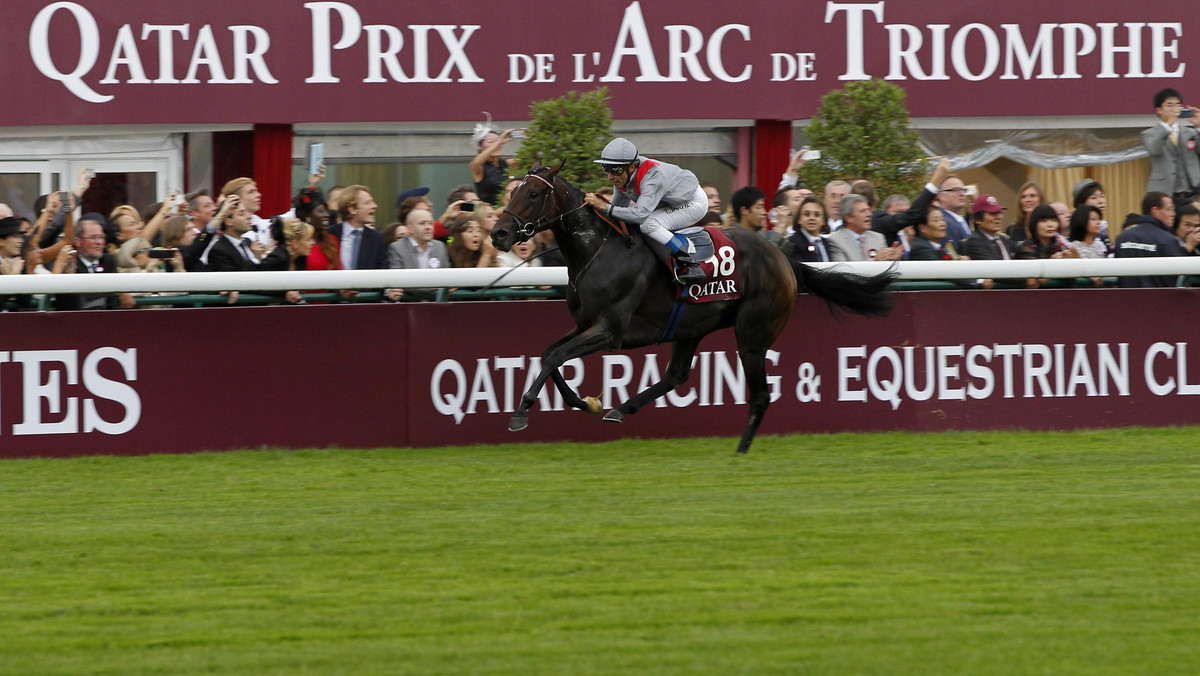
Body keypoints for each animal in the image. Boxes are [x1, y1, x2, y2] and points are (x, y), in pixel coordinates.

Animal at [492, 162, 897, 453]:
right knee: (676, 375)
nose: (498, 233)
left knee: (760, 394)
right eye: (514, 190)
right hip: (689, 326)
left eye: (532, 193)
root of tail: (783, 259)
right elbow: (550, 353)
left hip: (752, 335)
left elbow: (555, 356)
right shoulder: (584, 324)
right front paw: (585, 402)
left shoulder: (610, 330)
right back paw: (620, 409)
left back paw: (741, 450)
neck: (597, 250)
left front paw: (520, 413)